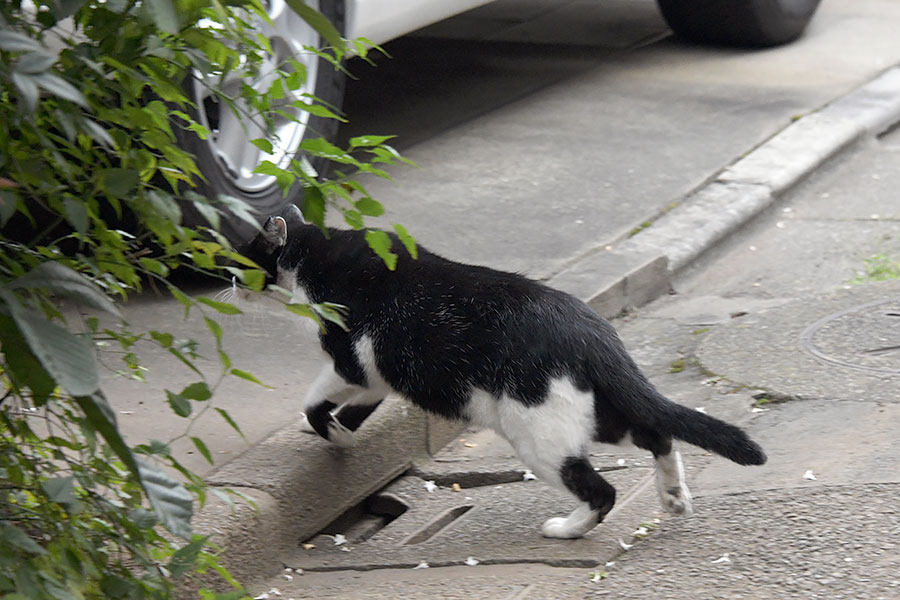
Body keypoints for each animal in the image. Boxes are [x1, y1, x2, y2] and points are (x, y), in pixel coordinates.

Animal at [239, 205, 768, 540]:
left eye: (241, 257)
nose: (226, 280)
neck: (317, 256)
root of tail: (594, 334)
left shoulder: (350, 361)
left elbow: (314, 400)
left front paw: (333, 435)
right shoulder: (379, 375)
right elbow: (357, 408)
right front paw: (342, 433)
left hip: (539, 433)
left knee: (603, 488)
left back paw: (567, 530)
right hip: (596, 411)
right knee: (657, 433)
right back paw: (674, 496)